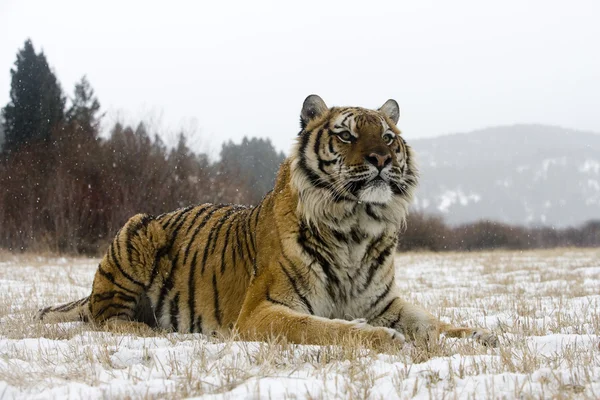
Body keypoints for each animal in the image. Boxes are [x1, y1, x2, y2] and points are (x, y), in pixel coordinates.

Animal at [35, 95, 500, 348]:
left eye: (387, 136)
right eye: (346, 135)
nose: (382, 159)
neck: (356, 228)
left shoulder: (384, 303)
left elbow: (430, 321)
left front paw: (478, 335)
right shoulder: (262, 310)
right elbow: (321, 329)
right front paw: (381, 339)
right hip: (135, 231)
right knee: (109, 319)